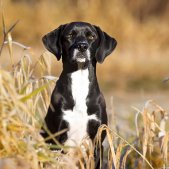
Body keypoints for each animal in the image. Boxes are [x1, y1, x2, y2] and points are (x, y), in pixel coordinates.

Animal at [41, 22, 117, 168]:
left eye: (91, 36)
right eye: (70, 35)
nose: (82, 46)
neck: (79, 82)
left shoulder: (97, 142)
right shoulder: (56, 140)